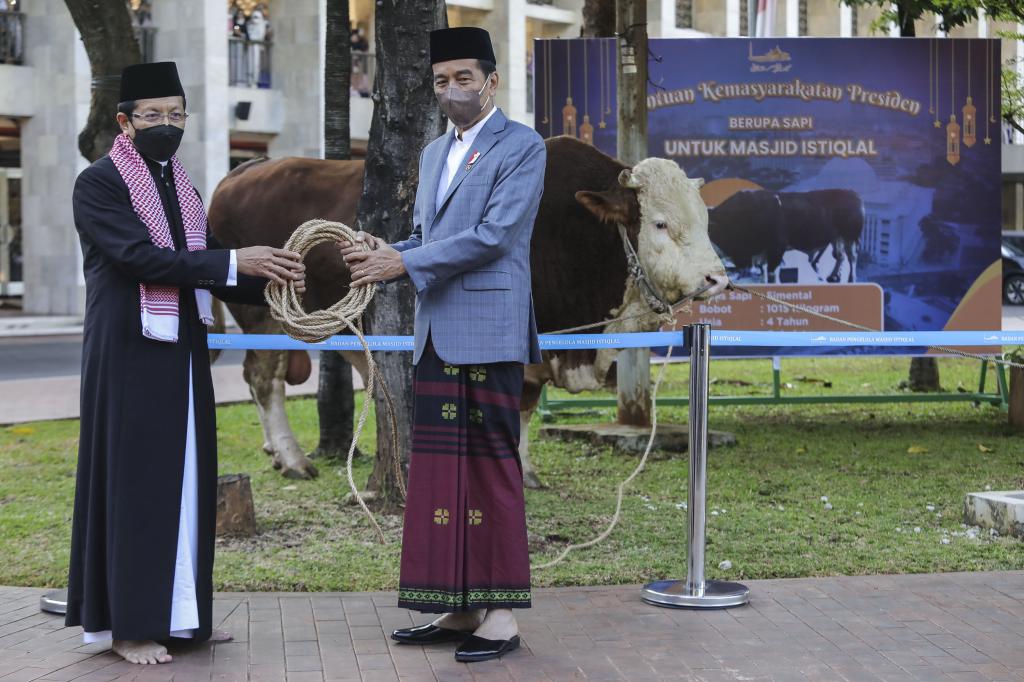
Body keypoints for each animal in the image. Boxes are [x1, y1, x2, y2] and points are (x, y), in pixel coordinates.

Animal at [209, 135, 729, 483]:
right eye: (659, 223)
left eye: (705, 219)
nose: (717, 278)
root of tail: (243, 171)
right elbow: (513, 402)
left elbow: (524, 406)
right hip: (262, 317)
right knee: (264, 379)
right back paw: (293, 458)